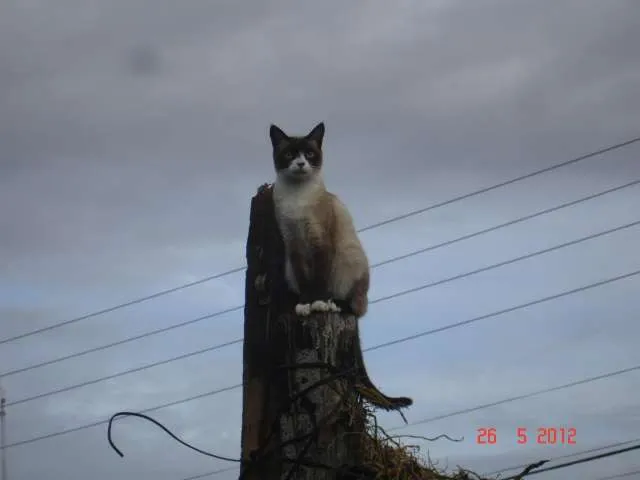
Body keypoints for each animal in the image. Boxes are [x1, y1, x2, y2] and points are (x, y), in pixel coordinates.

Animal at [268, 123, 412, 412]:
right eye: (289, 155)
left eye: (310, 154)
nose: (301, 164)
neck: (297, 196)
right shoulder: (294, 246)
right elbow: (306, 283)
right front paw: (305, 305)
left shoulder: (320, 243)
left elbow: (319, 281)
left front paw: (317, 303)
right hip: (290, 267)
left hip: (349, 258)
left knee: (356, 308)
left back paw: (333, 304)